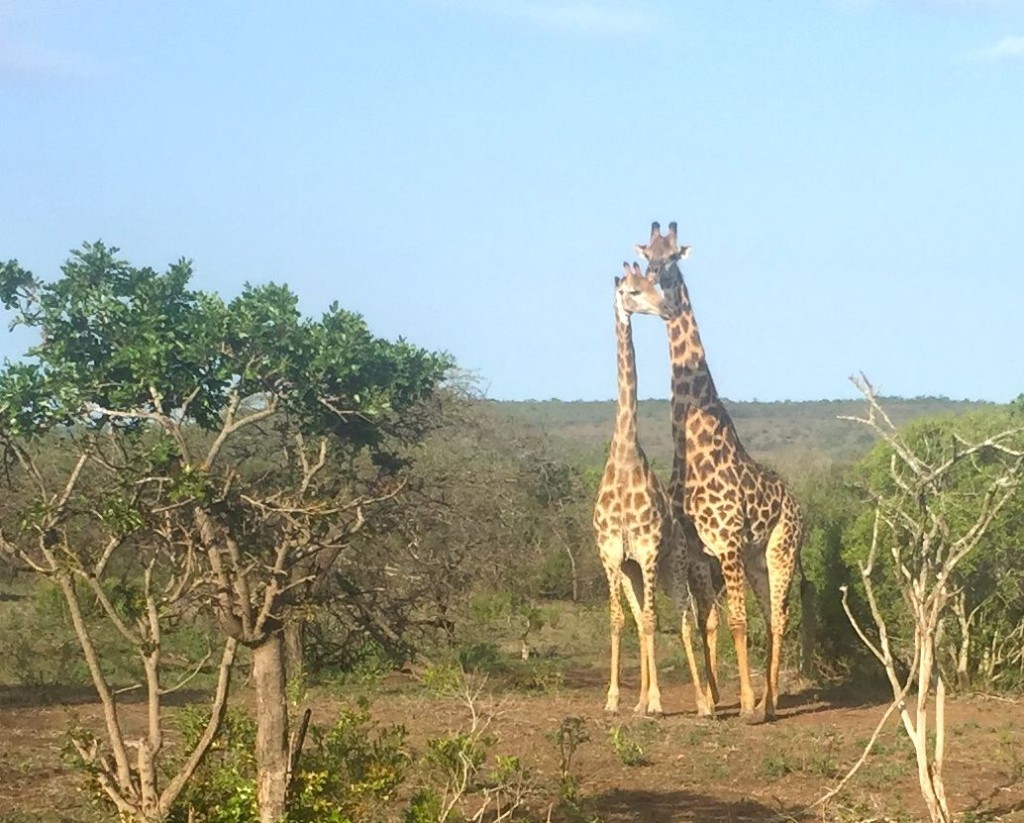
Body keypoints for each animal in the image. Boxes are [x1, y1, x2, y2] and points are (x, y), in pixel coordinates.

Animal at [594, 262, 718, 717]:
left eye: (652, 284)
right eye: (632, 291)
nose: (665, 309)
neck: (625, 462)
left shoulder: (647, 552)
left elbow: (652, 622)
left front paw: (658, 702)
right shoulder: (613, 555)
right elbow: (619, 621)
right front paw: (614, 700)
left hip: (673, 565)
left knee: (683, 618)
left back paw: (702, 702)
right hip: (636, 571)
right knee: (643, 615)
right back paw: (642, 699)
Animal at [633, 221, 809, 723]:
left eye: (673, 257)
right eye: (648, 257)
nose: (660, 283)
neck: (691, 446)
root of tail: (799, 505)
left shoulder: (727, 543)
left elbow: (736, 621)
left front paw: (744, 704)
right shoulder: (697, 552)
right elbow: (706, 620)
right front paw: (710, 703)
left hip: (779, 549)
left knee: (779, 615)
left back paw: (765, 705)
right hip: (754, 558)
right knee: (770, 615)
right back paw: (770, 701)